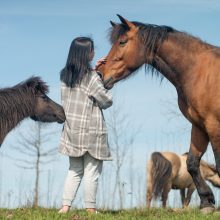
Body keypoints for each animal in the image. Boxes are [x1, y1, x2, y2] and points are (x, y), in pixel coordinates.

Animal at [97, 13, 220, 211]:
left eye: (122, 42)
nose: (100, 74)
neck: (198, 71)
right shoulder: (199, 125)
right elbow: (192, 163)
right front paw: (206, 202)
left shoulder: (213, 124)